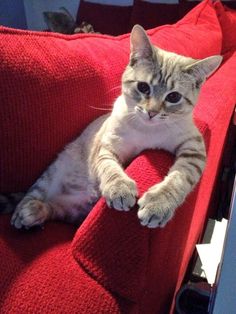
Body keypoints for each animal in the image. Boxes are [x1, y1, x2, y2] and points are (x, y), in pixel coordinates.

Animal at [2, 24, 223, 229]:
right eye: (143, 87)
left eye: (174, 97)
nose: (151, 112)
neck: (147, 130)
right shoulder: (107, 146)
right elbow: (110, 168)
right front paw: (119, 189)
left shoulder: (193, 149)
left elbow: (178, 178)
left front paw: (158, 204)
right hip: (51, 174)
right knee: (32, 193)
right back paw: (24, 213)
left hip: (73, 209)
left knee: (54, 208)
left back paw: (37, 213)